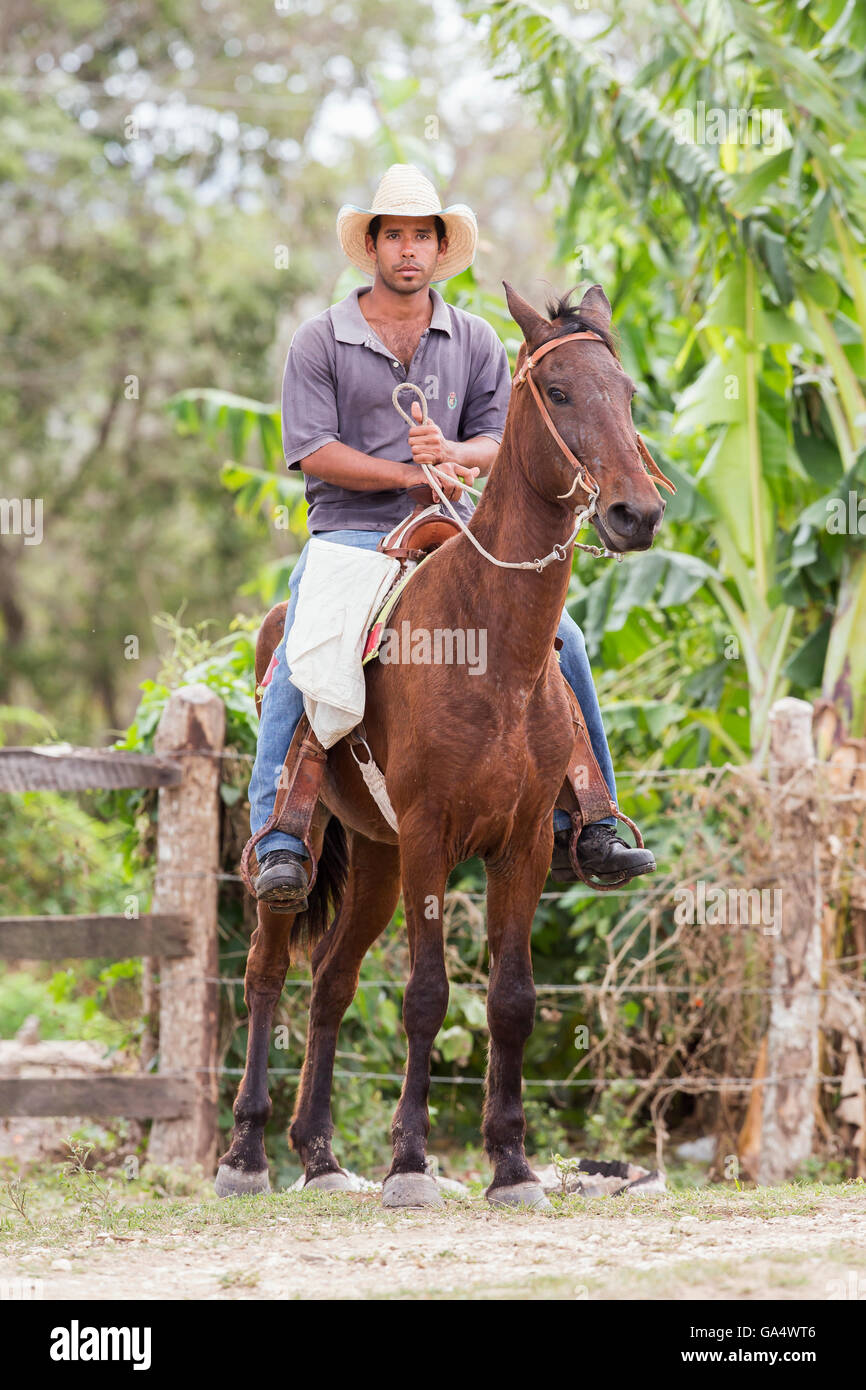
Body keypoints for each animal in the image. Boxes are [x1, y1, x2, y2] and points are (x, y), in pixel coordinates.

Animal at [218, 279, 670, 1206]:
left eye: (627, 394)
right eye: (559, 392)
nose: (635, 512)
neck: (487, 643)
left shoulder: (524, 843)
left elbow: (513, 999)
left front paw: (510, 1165)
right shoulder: (431, 836)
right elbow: (427, 994)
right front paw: (411, 1163)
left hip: (377, 855)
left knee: (331, 983)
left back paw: (319, 1156)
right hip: (316, 848)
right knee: (267, 974)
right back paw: (247, 1154)